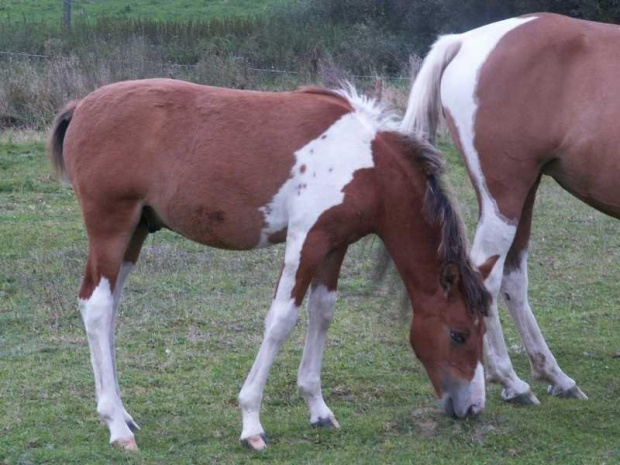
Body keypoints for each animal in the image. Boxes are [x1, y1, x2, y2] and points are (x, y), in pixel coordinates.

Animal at [48, 79, 494, 450]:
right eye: (457, 334)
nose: (471, 407)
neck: (365, 163)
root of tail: (81, 107)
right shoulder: (306, 240)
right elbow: (281, 320)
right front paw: (251, 423)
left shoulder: (334, 246)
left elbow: (322, 313)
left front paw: (319, 410)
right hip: (112, 228)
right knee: (96, 306)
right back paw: (116, 427)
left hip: (136, 232)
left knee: (108, 309)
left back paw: (123, 415)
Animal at [402, 13, 620, 406]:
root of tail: (464, 41)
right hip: (505, 196)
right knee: (486, 275)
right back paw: (512, 381)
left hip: (525, 192)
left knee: (514, 277)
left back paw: (554, 375)